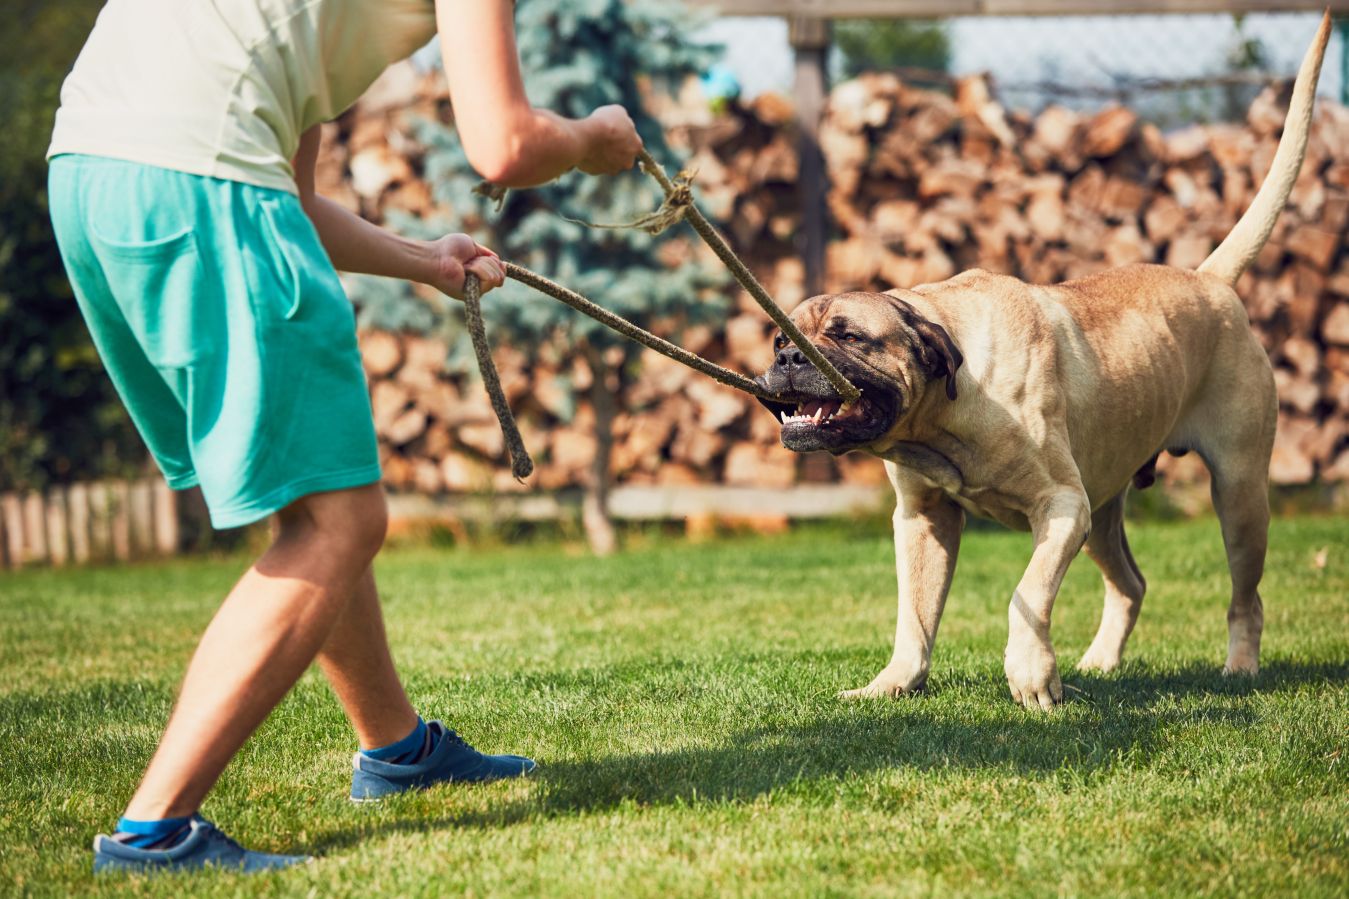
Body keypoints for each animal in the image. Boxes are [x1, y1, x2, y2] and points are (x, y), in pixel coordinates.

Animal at [755, 14, 1332, 707]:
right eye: (781, 337)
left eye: (846, 336)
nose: (790, 355)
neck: (946, 406)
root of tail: (1210, 281)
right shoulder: (923, 520)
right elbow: (914, 616)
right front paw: (893, 684)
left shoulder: (1061, 507)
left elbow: (1023, 594)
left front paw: (1031, 676)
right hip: (1106, 506)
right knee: (1131, 583)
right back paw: (1101, 663)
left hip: (1238, 494)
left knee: (1245, 597)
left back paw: (1240, 667)